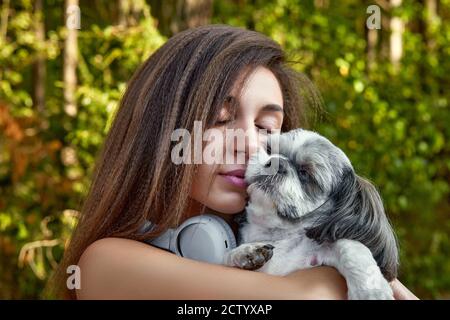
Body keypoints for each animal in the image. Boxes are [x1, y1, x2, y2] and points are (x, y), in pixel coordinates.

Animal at [224, 129, 398, 298]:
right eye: (269, 150)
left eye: (305, 173)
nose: (277, 162)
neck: (278, 235)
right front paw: (245, 252)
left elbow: (350, 247)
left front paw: (371, 291)